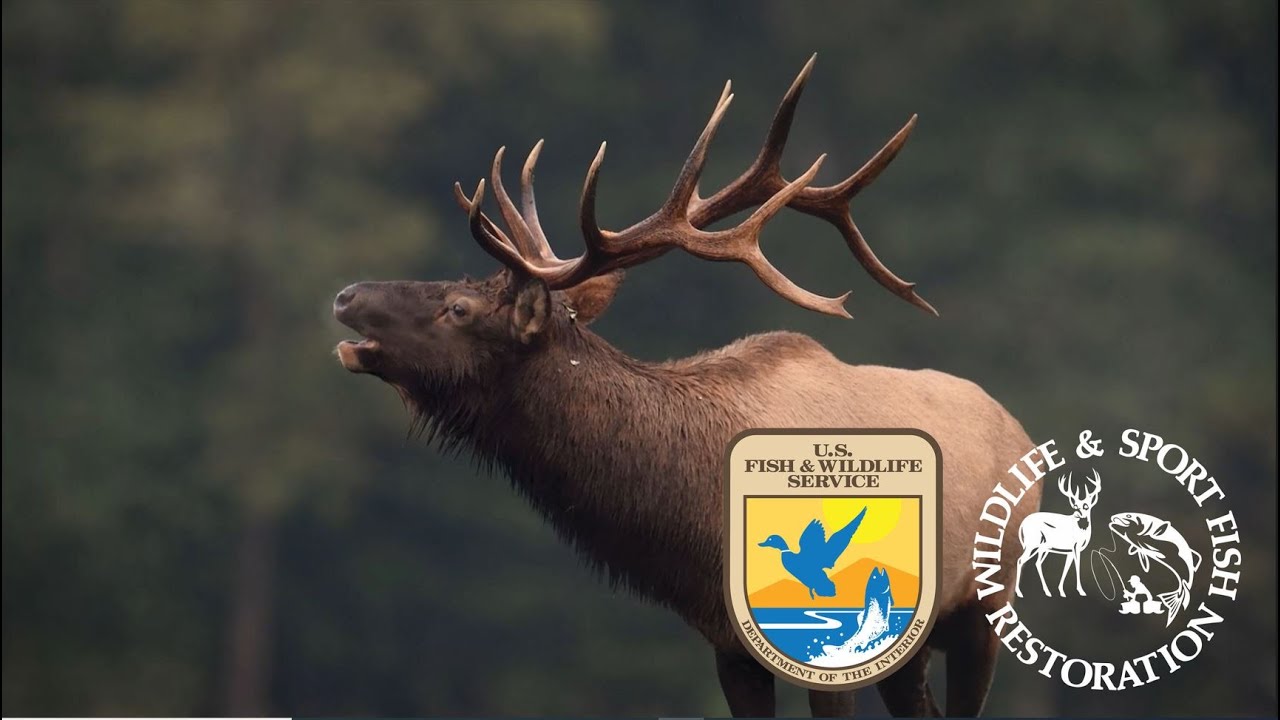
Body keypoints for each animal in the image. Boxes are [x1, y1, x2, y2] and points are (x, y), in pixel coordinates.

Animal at [332, 56, 1042, 718]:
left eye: (459, 308)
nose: (346, 295)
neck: (698, 520)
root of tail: (1019, 433)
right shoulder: (727, 643)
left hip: (983, 607)